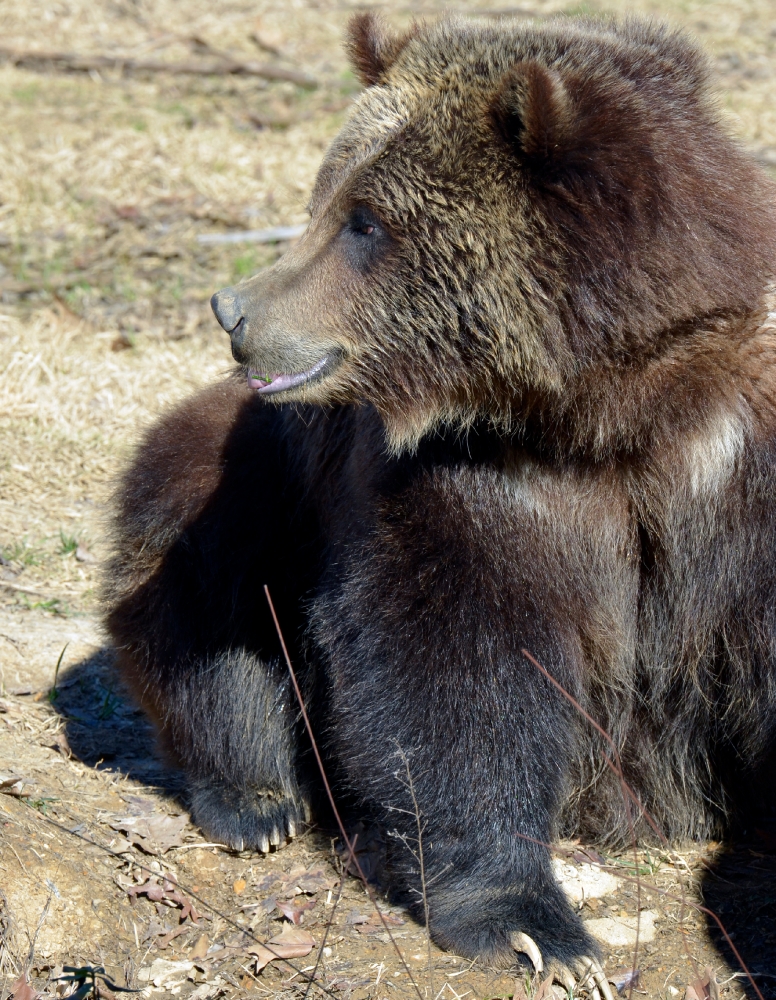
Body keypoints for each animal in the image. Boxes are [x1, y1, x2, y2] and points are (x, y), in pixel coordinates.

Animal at [106, 9, 776, 992]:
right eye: (330, 194)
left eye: (366, 219)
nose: (235, 309)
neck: (606, 412)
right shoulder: (466, 482)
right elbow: (453, 670)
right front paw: (533, 926)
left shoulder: (738, 470)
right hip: (254, 474)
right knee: (197, 575)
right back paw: (256, 799)